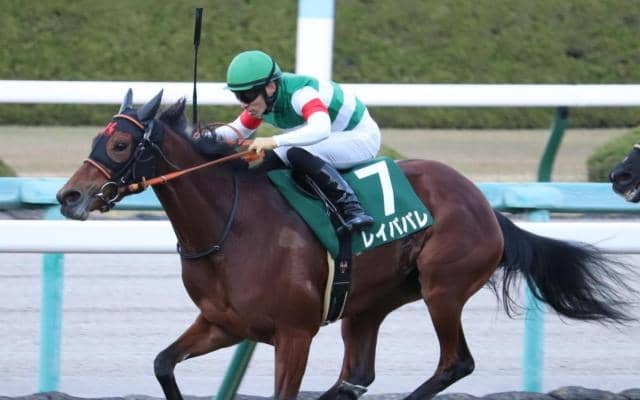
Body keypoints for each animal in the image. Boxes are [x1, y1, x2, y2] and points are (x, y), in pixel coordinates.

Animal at [57, 90, 636, 400]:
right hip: (367, 304)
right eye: (94, 139)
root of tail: (485, 204)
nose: (69, 196)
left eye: (121, 144)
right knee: (357, 375)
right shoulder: (224, 323)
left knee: (456, 364)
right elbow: (163, 364)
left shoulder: (294, 334)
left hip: (443, 288)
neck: (229, 228)